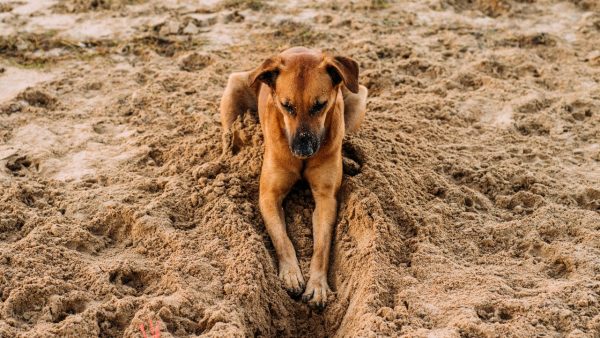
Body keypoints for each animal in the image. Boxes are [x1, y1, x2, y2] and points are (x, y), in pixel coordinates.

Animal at [220, 46, 368, 308]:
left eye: (319, 105)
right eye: (286, 106)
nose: (302, 149)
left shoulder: (326, 199)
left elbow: (322, 246)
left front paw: (317, 284)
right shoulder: (269, 196)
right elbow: (281, 238)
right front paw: (290, 273)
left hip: (358, 95)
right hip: (234, 88)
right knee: (229, 136)